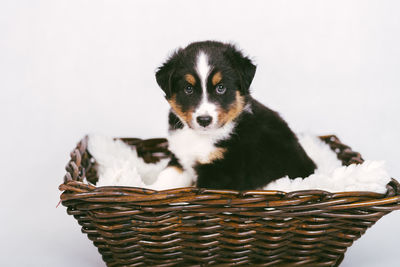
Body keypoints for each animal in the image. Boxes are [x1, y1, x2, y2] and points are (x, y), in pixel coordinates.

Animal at [150, 40, 316, 192]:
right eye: (188, 89)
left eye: (221, 88)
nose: (204, 120)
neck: (202, 137)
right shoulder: (181, 158)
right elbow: (166, 176)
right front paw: (150, 189)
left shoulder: (221, 173)